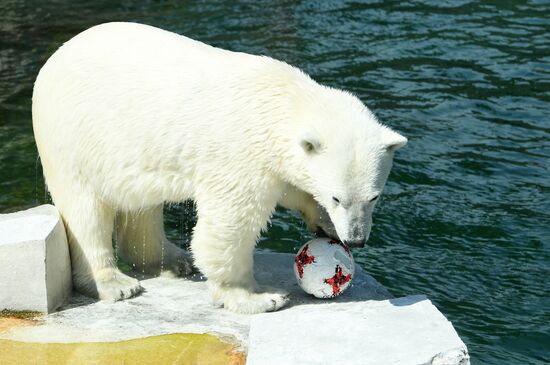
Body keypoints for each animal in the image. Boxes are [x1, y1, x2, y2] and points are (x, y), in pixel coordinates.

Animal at [32, 22, 408, 312]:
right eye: (337, 198)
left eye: (374, 197)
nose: (357, 240)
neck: (280, 100)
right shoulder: (240, 155)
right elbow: (231, 223)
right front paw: (258, 298)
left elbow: (290, 185)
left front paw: (322, 223)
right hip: (74, 138)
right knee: (85, 211)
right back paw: (116, 283)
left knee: (141, 205)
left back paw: (174, 261)